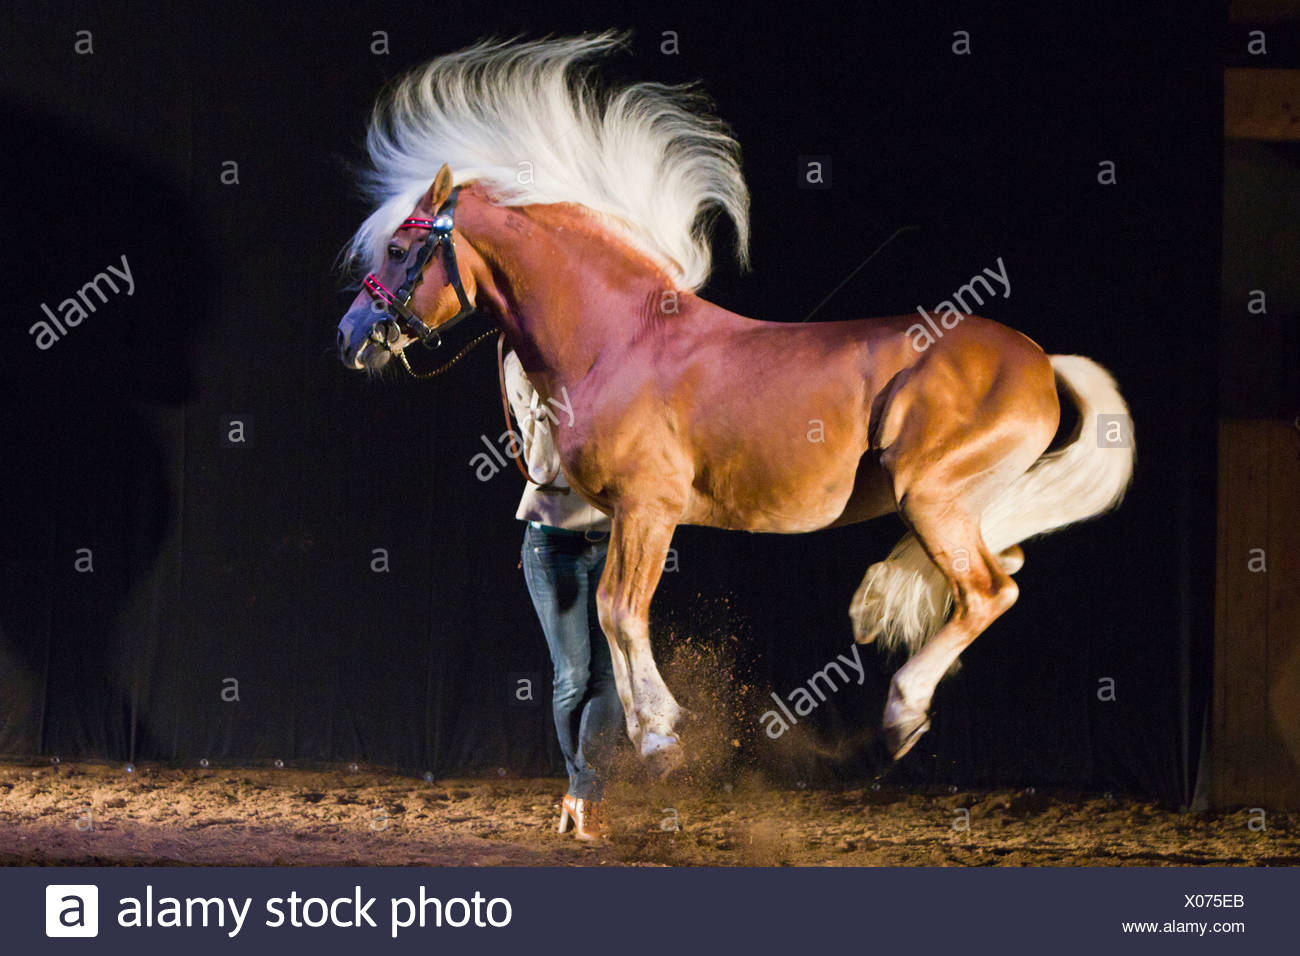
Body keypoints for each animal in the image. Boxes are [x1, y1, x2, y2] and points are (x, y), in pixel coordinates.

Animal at [336, 35, 1134, 772]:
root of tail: (1038, 362)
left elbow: (620, 611)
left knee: (989, 591)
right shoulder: (629, 515)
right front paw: (656, 730)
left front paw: (659, 739)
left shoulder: (649, 507)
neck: (619, 340)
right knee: (1001, 566)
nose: (350, 338)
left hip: (932, 493)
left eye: (401, 252)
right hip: (964, 502)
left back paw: (904, 714)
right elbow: (611, 620)